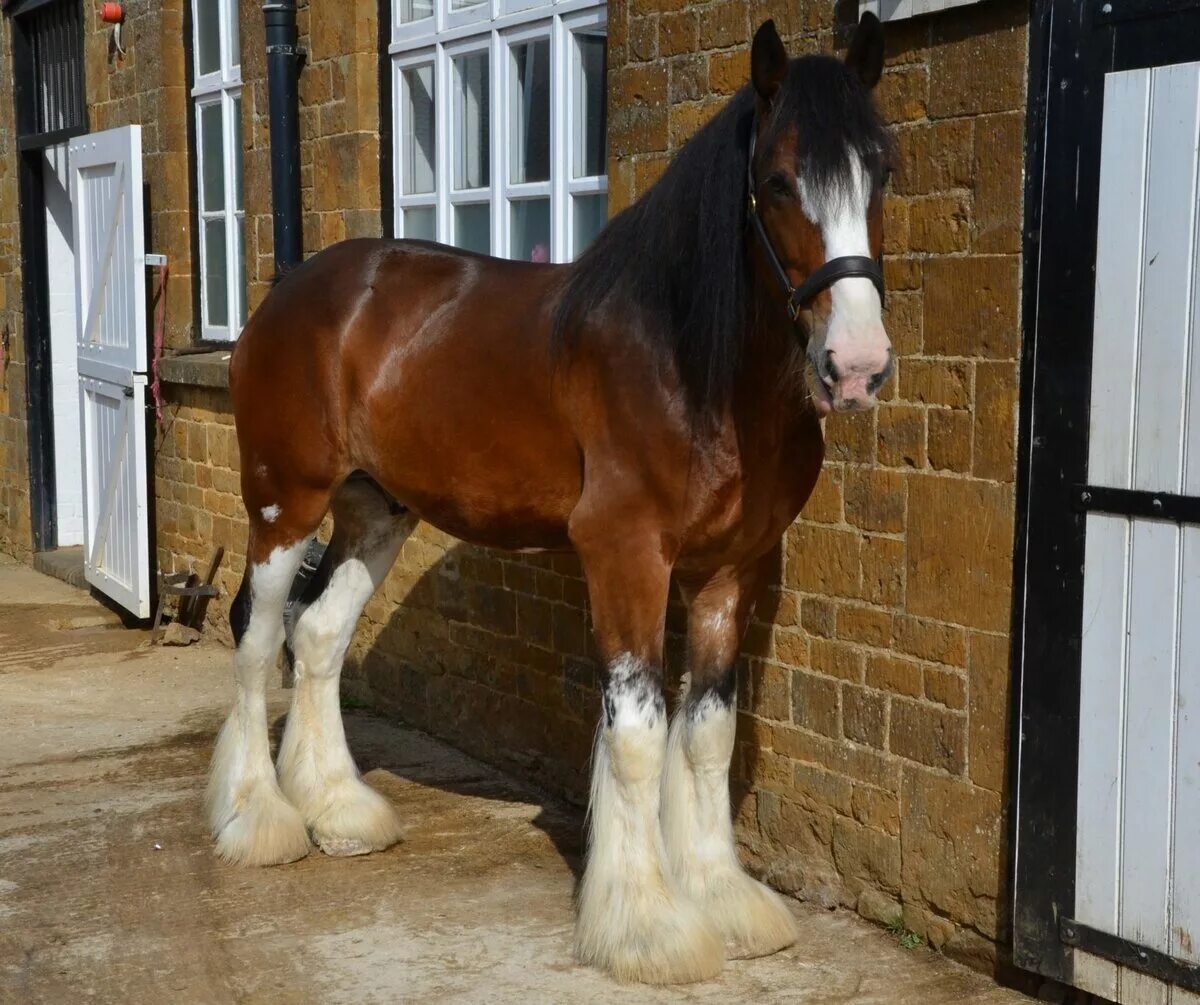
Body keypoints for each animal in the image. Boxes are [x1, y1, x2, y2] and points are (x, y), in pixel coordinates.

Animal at [211, 15, 897, 988]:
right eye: (776, 180)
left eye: (883, 170)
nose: (857, 365)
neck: (691, 362)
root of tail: (291, 293)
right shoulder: (626, 555)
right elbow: (639, 734)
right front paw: (648, 926)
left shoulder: (732, 568)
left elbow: (707, 733)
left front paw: (723, 899)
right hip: (283, 504)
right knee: (256, 633)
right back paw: (261, 821)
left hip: (378, 512)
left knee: (316, 637)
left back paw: (340, 810)